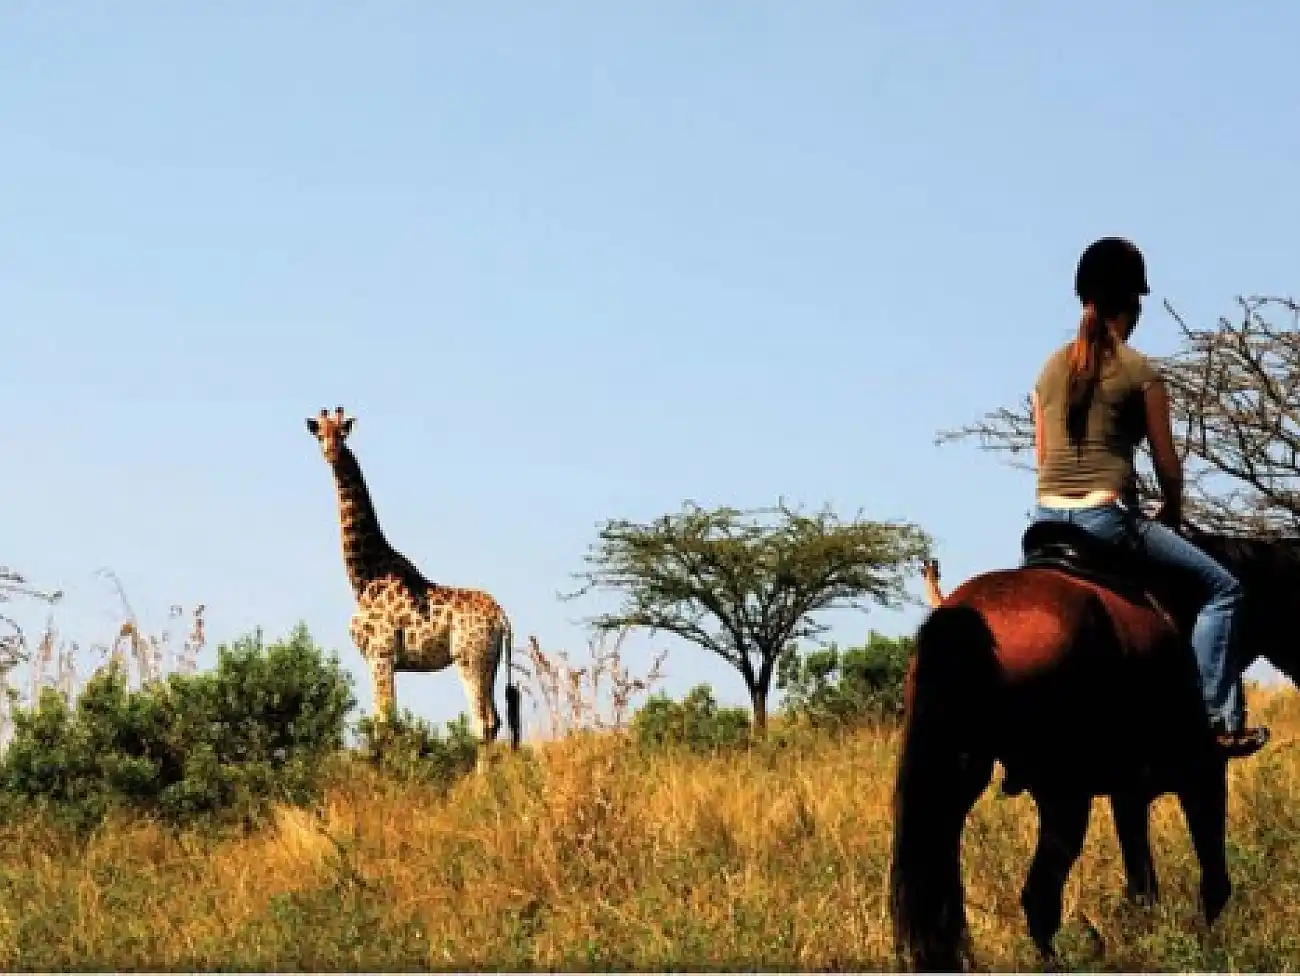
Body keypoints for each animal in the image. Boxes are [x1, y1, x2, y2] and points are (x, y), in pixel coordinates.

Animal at [890, 522, 1300, 970]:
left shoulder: (1129, 795)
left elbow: (1143, 889)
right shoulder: (1202, 773)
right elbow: (1213, 884)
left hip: (958, 778)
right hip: (1064, 795)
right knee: (1040, 898)